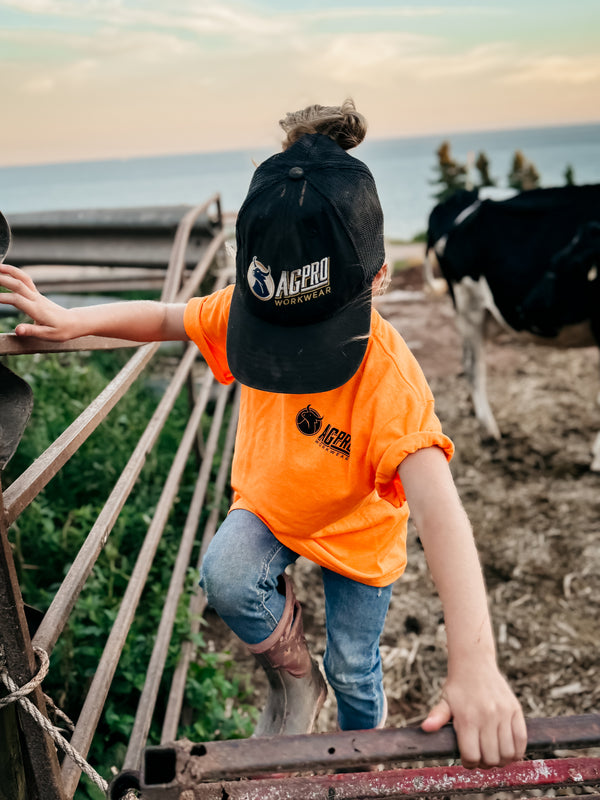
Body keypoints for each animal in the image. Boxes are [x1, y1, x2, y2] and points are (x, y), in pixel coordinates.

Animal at [424, 184, 600, 472]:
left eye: (572, 264)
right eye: (559, 260)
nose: (528, 306)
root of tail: (463, 194)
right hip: (468, 305)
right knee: (473, 367)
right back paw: (489, 432)